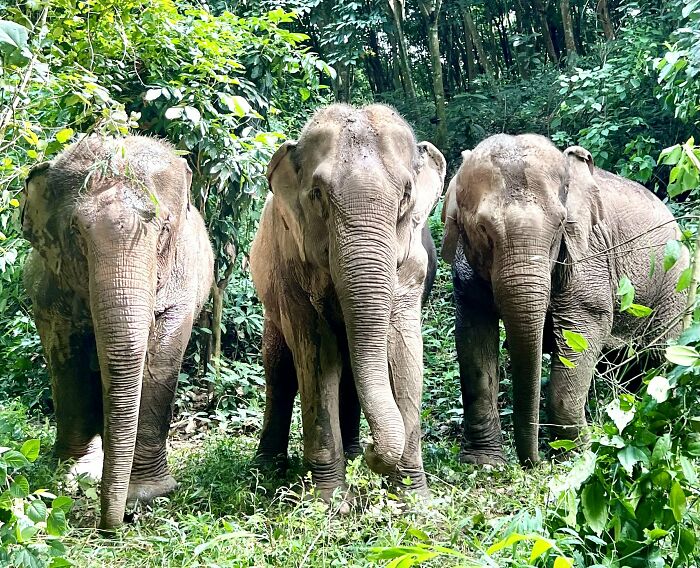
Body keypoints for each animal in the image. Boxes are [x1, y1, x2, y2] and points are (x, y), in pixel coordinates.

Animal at [21, 135, 213, 532]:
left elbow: (160, 360)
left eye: (164, 229)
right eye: (76, 234)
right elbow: (68, 359)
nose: (114, 524)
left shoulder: (182, 281)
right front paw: (75, 475)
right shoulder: (50, 288)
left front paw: (149, 493)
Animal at [252, 102, 446, 502]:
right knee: (280, 369)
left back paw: (354, 453)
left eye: (406, 194)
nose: (375, 449)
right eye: (317, 194)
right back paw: (266, 468)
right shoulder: (292, 265)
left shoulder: (412, 265)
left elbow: (403, 351)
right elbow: (315, 354)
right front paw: (331, 502)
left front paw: (414, 499)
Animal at [442, 135, 688, 468]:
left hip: (676, 284)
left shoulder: (588, 255)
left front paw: (578, 454)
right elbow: (474, 340)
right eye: (481, 228)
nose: (532, 463)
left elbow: (585, 326)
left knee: (662, 355)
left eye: (560, 224)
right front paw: (483, 463)